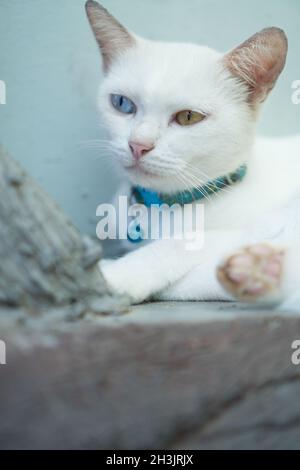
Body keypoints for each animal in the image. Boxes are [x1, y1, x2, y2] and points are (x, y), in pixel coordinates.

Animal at [85, 0, 300, 308]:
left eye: (188, 117)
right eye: (123, 104)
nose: (138, 145)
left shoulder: (260, 225)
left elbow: (184, 243)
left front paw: (115, 275)